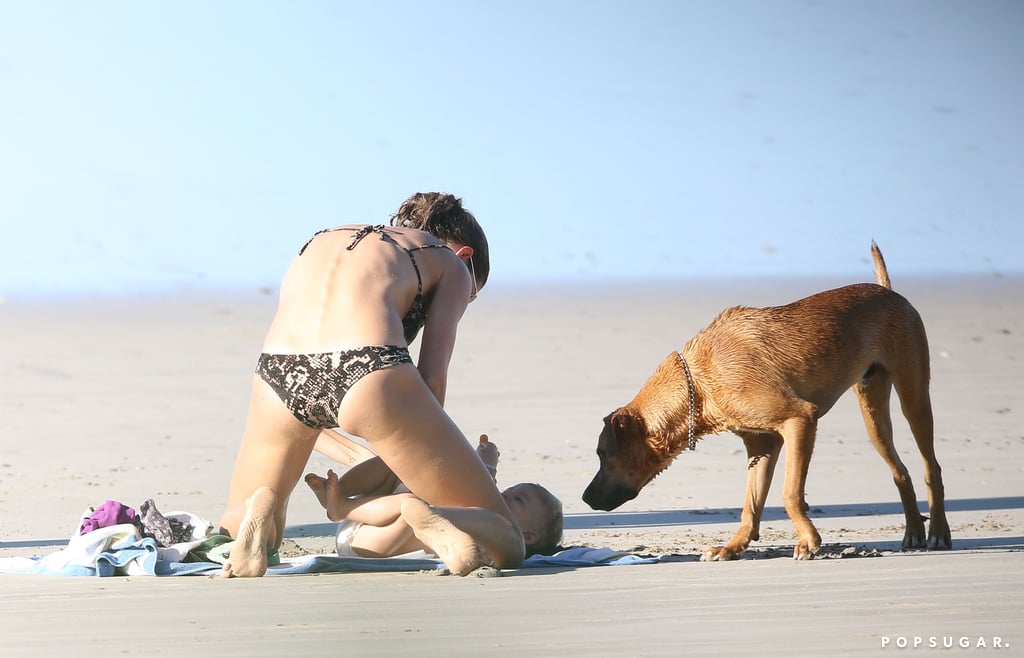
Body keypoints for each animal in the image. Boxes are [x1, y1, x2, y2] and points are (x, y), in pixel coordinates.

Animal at [585, 241, 950, 560]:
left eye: (603, 454)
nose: (585, 498)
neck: (699, 383)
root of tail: (888, 291)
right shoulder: (761, 444)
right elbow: (750, 505)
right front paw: (732, 548)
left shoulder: (800, 420)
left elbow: (790, 494)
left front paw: (808, 541)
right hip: (873, 414)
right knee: (900, 471)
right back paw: (914, 530)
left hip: (914, 397)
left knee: (931, 466)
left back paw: (938, 532)